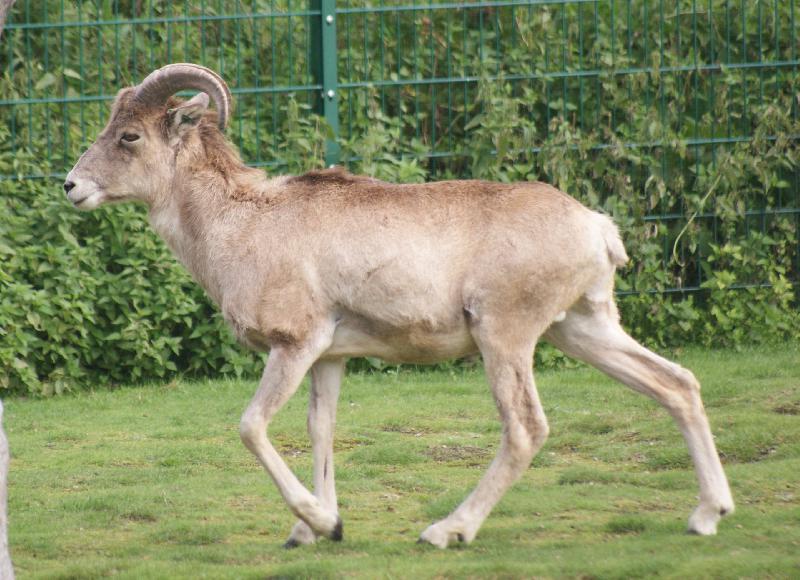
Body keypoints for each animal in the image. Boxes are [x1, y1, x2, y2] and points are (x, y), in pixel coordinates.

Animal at [64, 63, 734, 549]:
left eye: (129, 136)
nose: (71, 186)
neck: (242, 224)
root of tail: (597, 228)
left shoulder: (294, 346)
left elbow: (252, 426)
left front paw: (320, 524)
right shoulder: (328, 360)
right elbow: (321, 431)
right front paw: (316, 530)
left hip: (506, 339)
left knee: (525, 429)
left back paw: (446, 531)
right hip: (582, 329)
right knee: (676, 384)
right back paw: (707, 515)